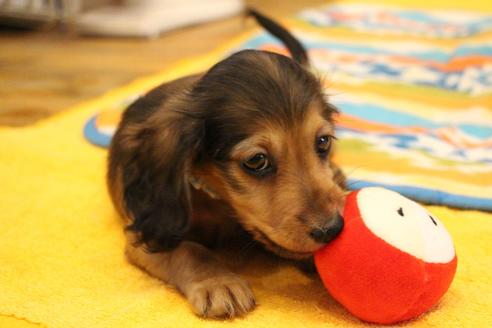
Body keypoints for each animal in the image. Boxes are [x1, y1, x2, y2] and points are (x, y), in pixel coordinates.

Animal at [107, 9, 346, 320]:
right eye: (256, 161)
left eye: (323, 142)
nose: (331, 229)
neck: (218, 201)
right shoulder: (144, 235)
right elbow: (189, 250)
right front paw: (218, 282)